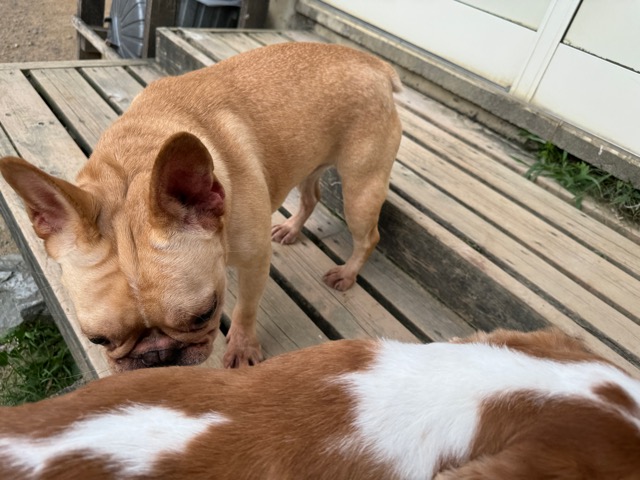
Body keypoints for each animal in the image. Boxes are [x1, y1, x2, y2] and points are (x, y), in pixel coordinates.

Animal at [0, 43, 402, 371]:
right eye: (97, 339)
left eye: (205, 314)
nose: (157, 355)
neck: (136, 160)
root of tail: (375, 64)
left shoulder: (255, 261)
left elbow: (245, 309)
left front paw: (242, 348)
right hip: (310, 163)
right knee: (310, 196)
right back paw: (290, 228)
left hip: (360, 189)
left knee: (369, 236)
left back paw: (347, 273)